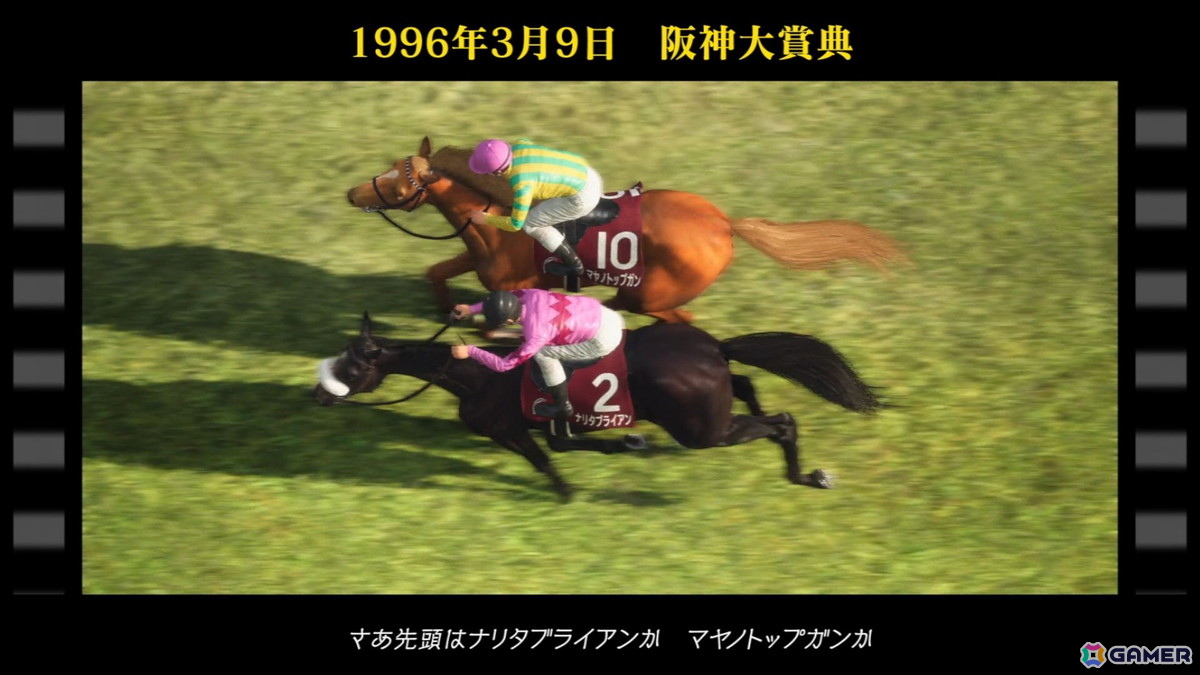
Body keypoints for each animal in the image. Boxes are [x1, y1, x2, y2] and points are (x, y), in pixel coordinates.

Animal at [312, 312, 886, 501]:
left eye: (352, 367)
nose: (318, 393)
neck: (479, 375)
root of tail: (713, 348)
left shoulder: (506, 427)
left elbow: (546, 460)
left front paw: (568, 492)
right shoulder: (549, 424)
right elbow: (572, 444)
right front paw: (630, 442)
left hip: (702, 430)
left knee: (782, 423)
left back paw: (809, 476)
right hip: (713, 409)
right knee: (747, 387)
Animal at [346, 137, 907, 324]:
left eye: (399, 178)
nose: (353, 193)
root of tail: (723, 223)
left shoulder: (517, 281)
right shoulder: (479, 256)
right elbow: (436, 270)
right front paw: (444, 308)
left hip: (652, 296)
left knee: (680, 321)